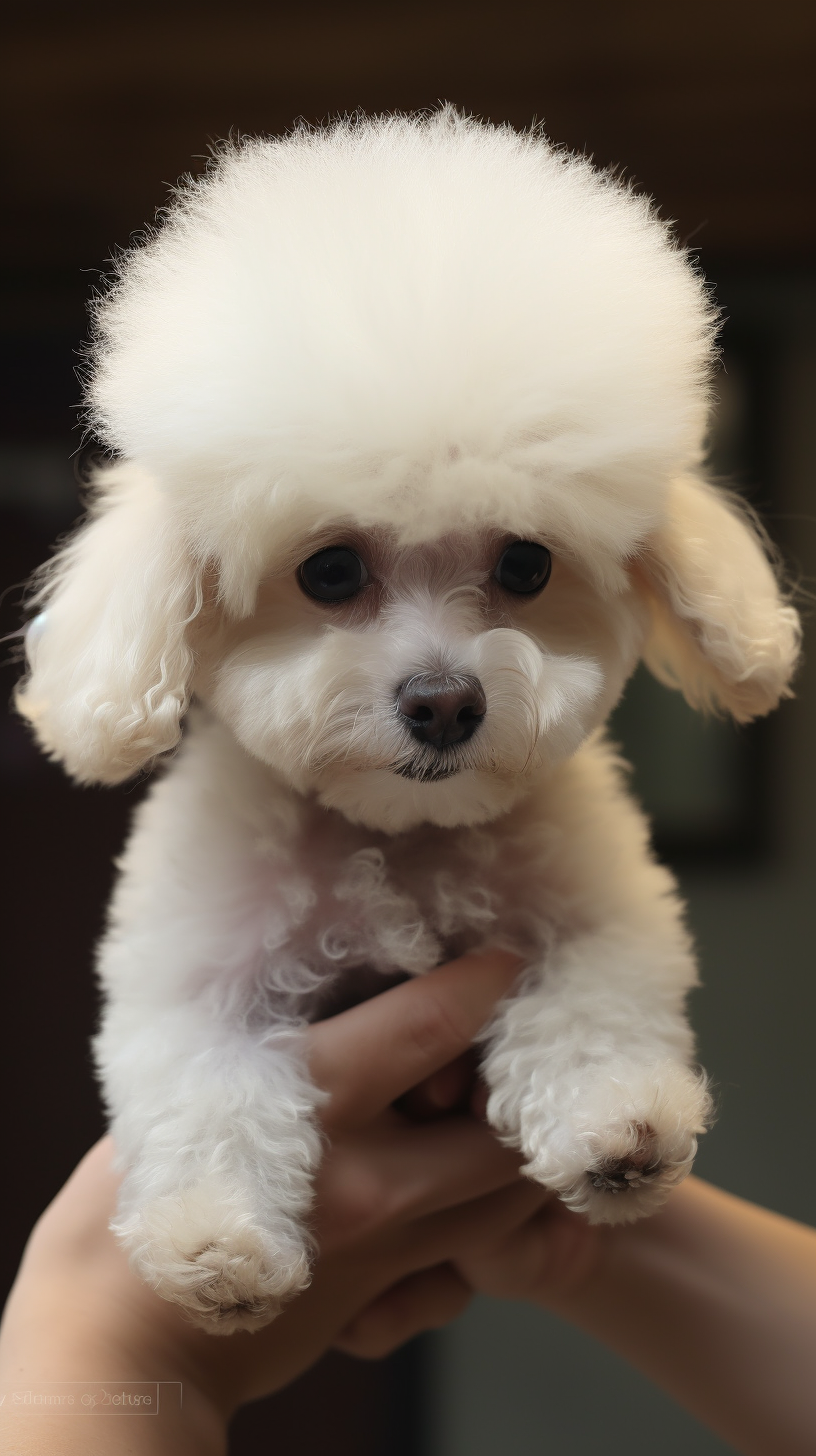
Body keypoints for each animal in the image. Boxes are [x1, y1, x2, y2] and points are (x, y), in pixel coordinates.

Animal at [15, 107, 798, 1333]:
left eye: (526, 564)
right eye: (330, 570)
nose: (444, 704)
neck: (401, 842)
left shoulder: (603, 911)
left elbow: (598, 997)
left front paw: (618, 1129)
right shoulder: (191, 980)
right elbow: (206, 1091)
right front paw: (214, 1248)